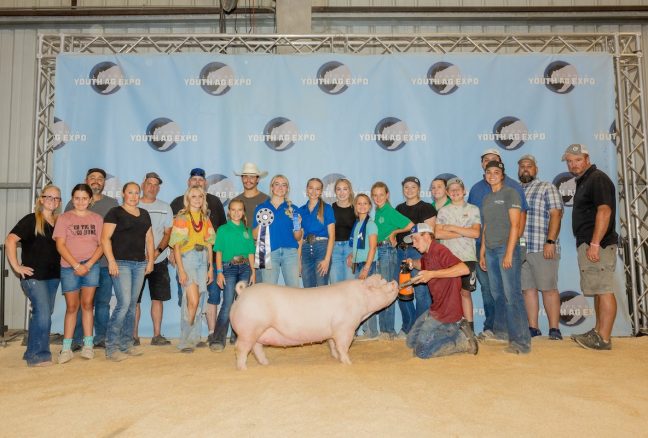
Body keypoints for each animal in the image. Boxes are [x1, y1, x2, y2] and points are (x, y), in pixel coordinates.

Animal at [230, 274, 398, 370]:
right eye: (381, 284)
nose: (395, 281)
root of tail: (242, 292)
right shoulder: (345, 327)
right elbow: (343, 346)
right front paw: (348, 363)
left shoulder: (333, 331)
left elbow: (333, 345)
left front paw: (336, 358)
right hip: (249, 329)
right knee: (241, 348)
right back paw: (243, 368)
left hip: (257, 331)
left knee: (256, 348)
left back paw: (266, 363)